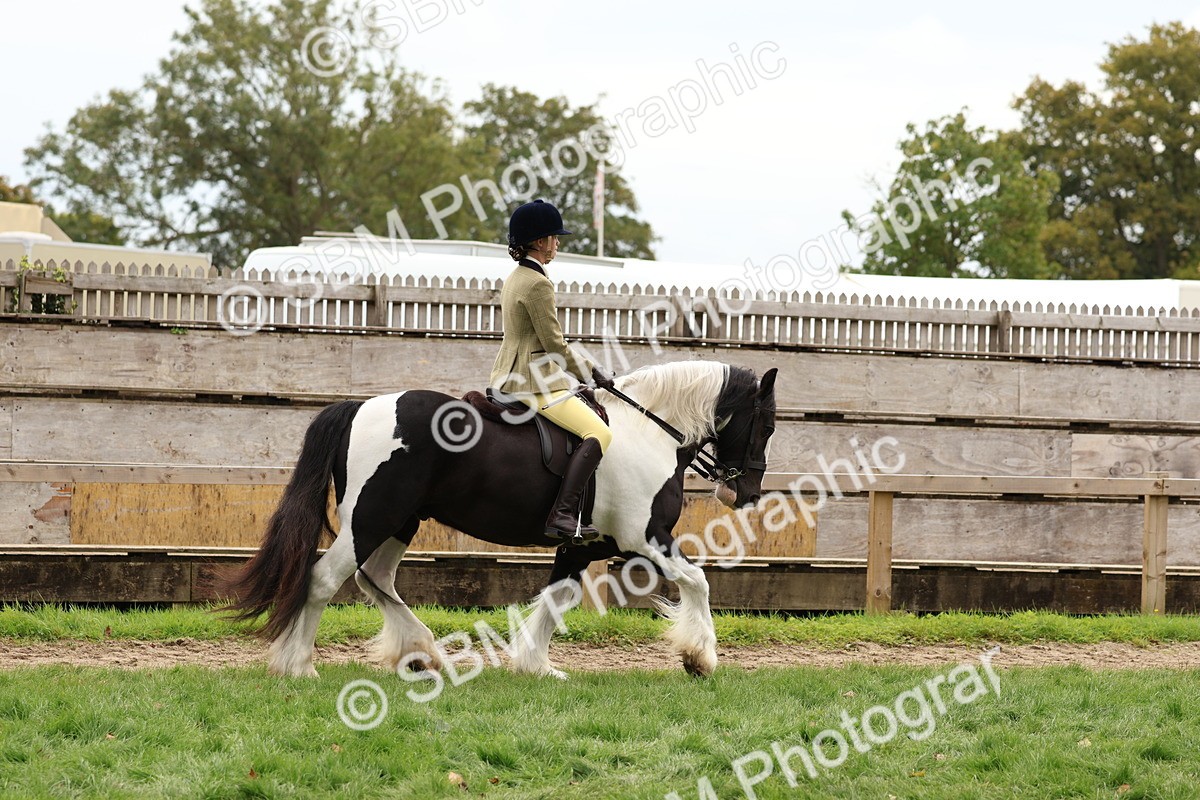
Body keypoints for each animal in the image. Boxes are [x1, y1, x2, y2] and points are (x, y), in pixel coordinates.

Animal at [224, 360, 778, 679]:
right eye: (768, 424)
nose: (746, 493)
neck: (649, 429)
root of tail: (360, 406)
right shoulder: (645, 538)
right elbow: (699, 581)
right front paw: (700, 658)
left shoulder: (583, 545)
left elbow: (557, 600)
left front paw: (535, 667)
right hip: (372, 516)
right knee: (324, 579)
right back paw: (299, 666)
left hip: (401, 520)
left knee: (374, 579)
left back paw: (421, 652)